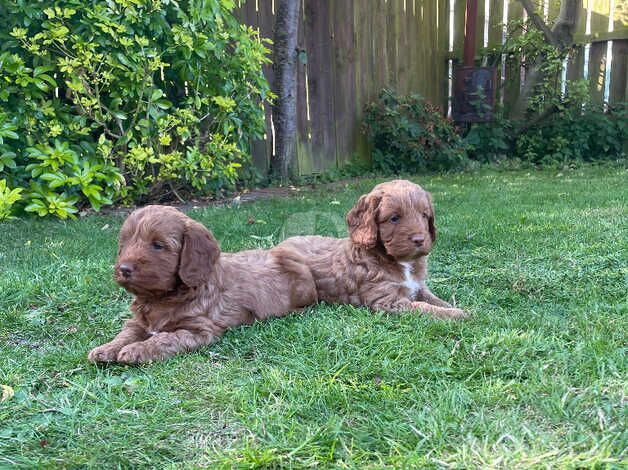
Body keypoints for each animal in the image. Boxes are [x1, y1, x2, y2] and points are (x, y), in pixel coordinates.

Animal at [87, 205, 318, 364]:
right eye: (125, 243)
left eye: (158, 245)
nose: (124, 269)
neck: (162, 298)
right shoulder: (137, 322)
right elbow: (125, 334)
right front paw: (106, 348)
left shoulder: (199, 330)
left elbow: (166, 338)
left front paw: (137, 350)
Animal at [274, 180, 466, 320]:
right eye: (394, 218)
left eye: (424, 215)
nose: (419, 239)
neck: (400, 261)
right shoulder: (385, 300)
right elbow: (423, 307)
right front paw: (457, 314)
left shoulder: (419, 287)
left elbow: (434, 299)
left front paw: (453, 308)